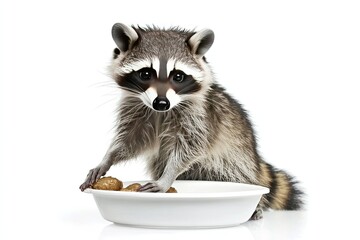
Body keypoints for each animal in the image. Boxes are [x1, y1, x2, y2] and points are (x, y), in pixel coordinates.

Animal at [79, 23, 304, 219]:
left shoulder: (200, 115)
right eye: (145, 73)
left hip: (237, 160)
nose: (161, 103)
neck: (161, 111)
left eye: (178, 76)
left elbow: (191, 146)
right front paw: (108, 158)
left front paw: (167, 177)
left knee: (236, 175)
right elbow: (132, 140)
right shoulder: (137, 108)